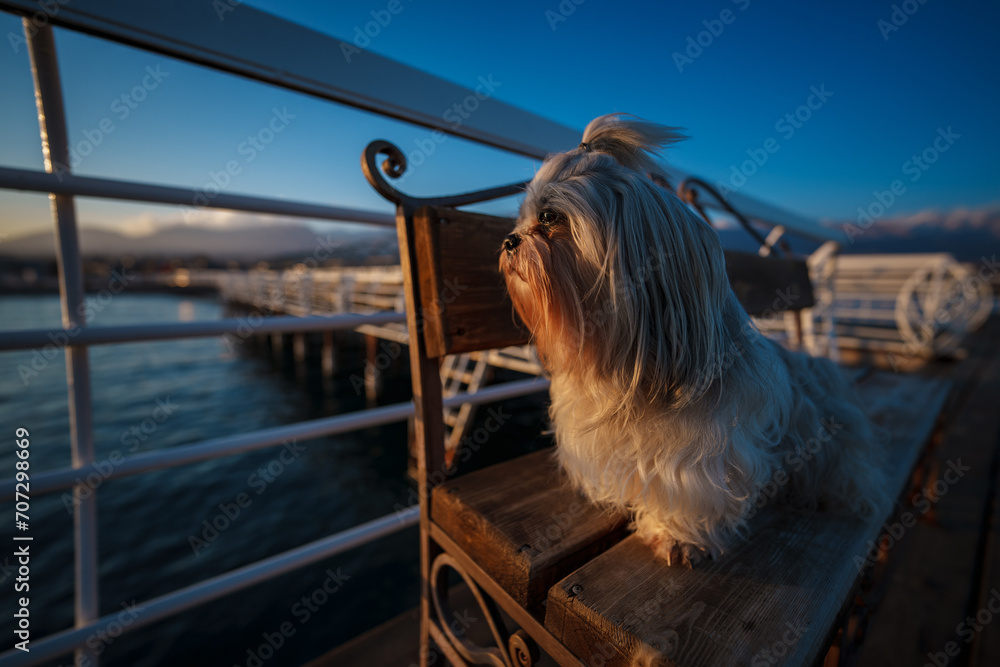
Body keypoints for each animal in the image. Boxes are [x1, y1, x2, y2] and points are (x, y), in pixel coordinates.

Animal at [500, 113, 892, 564]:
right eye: (522, 219)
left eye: (549, 217)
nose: (509, 240)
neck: (620, 359)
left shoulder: (700, 456)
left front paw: (676, 536)